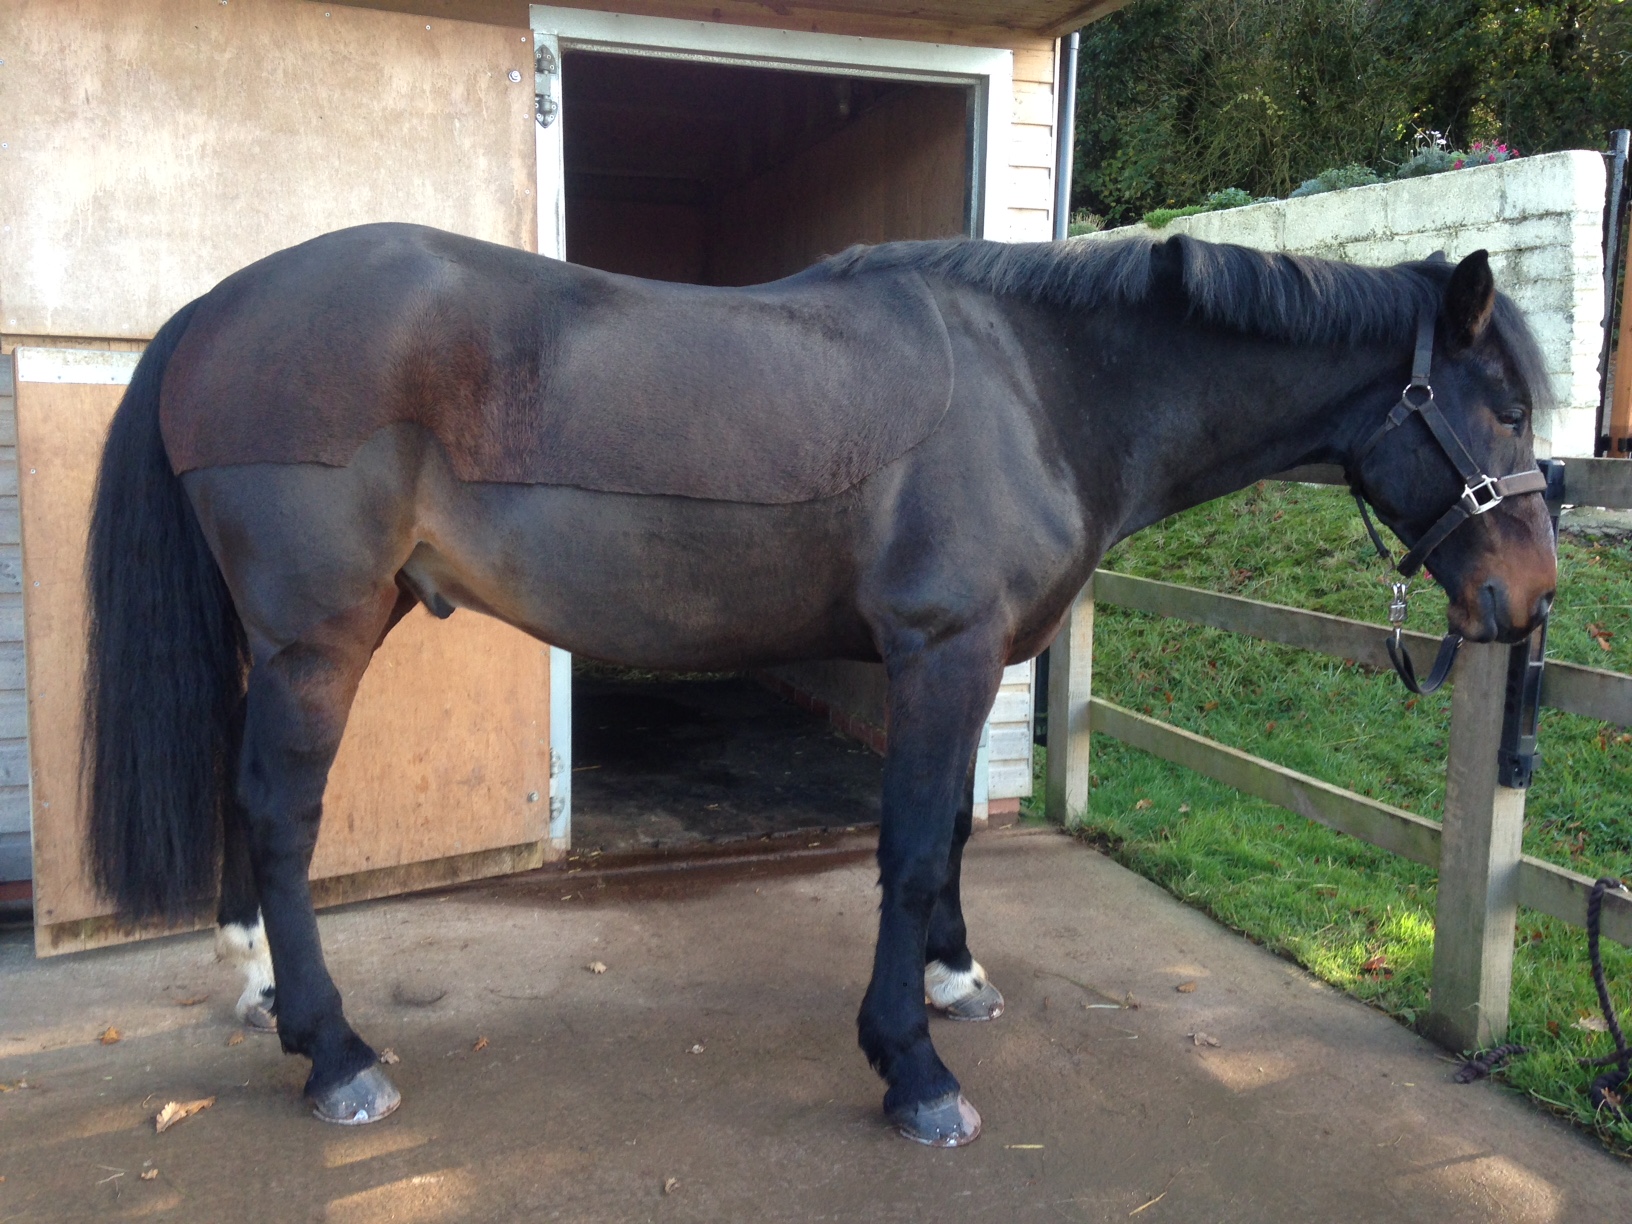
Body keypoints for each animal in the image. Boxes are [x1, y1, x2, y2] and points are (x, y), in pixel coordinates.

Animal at [84, 224, 1557, 1145]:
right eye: (1503, 406)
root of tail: (216, 309)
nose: (1527, 604)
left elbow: (950, 831)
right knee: (281, 817)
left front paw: (957, 980)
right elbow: (903, 851)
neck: (1044, 386)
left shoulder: (967, 661)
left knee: (240, 796)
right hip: (322, 639)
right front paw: (914, 1069)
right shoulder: (942, 653)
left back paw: (260, 990)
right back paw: (335, 1054)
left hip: (291, 640)